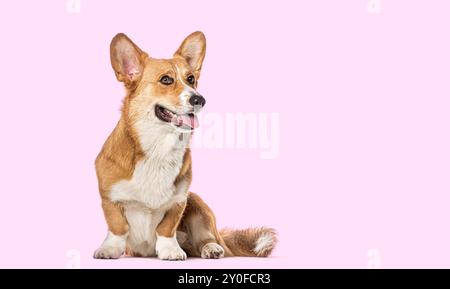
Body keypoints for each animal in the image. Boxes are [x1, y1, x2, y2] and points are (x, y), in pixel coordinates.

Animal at [94, 31, 278, 258]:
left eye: (191, 79)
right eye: (166, 80)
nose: (200, 99)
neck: (158, 147)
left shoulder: (180, 200)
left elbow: (166, 228)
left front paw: (170, 251)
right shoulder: (109, 199)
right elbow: (118, 227)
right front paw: (109, 249)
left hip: (197, 204)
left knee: (204, 240)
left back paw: (211, 248)